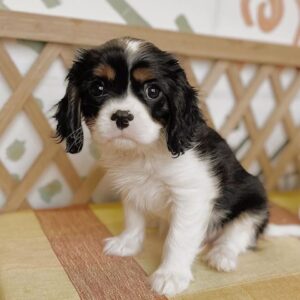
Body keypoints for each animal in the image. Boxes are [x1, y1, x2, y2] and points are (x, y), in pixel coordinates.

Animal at [54, 37, 300, 296]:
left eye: (153, 92)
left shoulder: (190, 196)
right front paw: (127, 243)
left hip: (254, 200)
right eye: (98, 89)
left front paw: (170, 274)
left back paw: (222, 254)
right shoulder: (131, 188)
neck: (145, 152)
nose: (122, 116)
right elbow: (133, 218)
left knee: (239, 234)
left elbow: (178, 238)